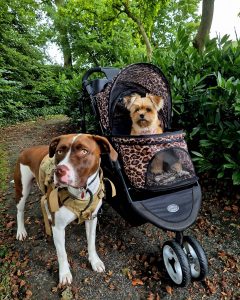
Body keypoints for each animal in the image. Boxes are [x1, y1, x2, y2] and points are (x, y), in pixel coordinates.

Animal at [13, 134, 117, 284]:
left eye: (84, 151)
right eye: (59, 151)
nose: (58, 170)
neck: (81, 192)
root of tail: (26, 150)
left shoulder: (92, 219)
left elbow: (91, 242)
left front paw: (95, 261)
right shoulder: (58, 228)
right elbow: (62, 253)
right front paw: (64, 274)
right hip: (22, 189)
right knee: (20, 210)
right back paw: (21, 231)